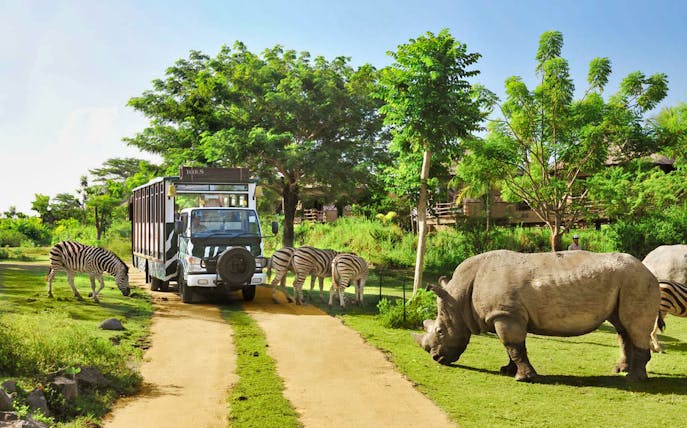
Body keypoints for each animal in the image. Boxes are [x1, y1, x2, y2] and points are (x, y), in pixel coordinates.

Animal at [413, 250, 660, 382]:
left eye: (440, 331)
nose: (436, 358)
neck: (459, 297)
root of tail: (648, 269)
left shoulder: (505, 314)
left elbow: (513, 346)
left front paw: (524, 378)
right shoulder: (508, 316)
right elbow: (512, 348)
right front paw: (507, 371)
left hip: (637, 280)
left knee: (634, 327)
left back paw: (633, 380)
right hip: (628, 282)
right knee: (622, 328)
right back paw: (620, 370)